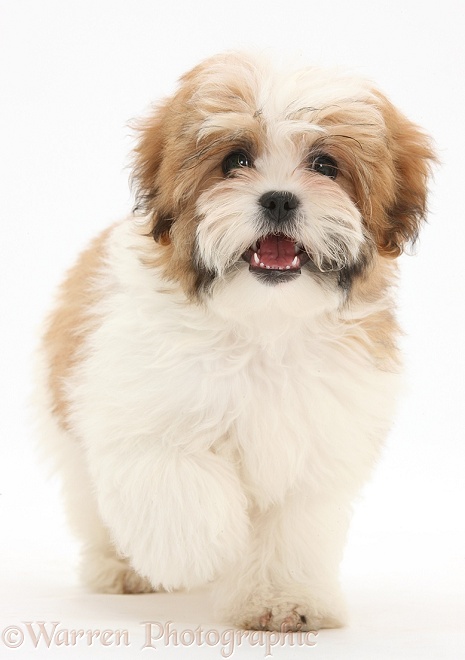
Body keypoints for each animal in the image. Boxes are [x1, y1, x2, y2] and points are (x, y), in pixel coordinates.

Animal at [36, 51, 436, 628]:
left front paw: (283, 599)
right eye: (235, 161)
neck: (262, 324)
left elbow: (291, 526)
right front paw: (200, 553)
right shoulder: (142, 412)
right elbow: (176, 482)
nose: (279, 200)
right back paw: (125, 568)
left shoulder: (318, 440)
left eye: (325, 165)